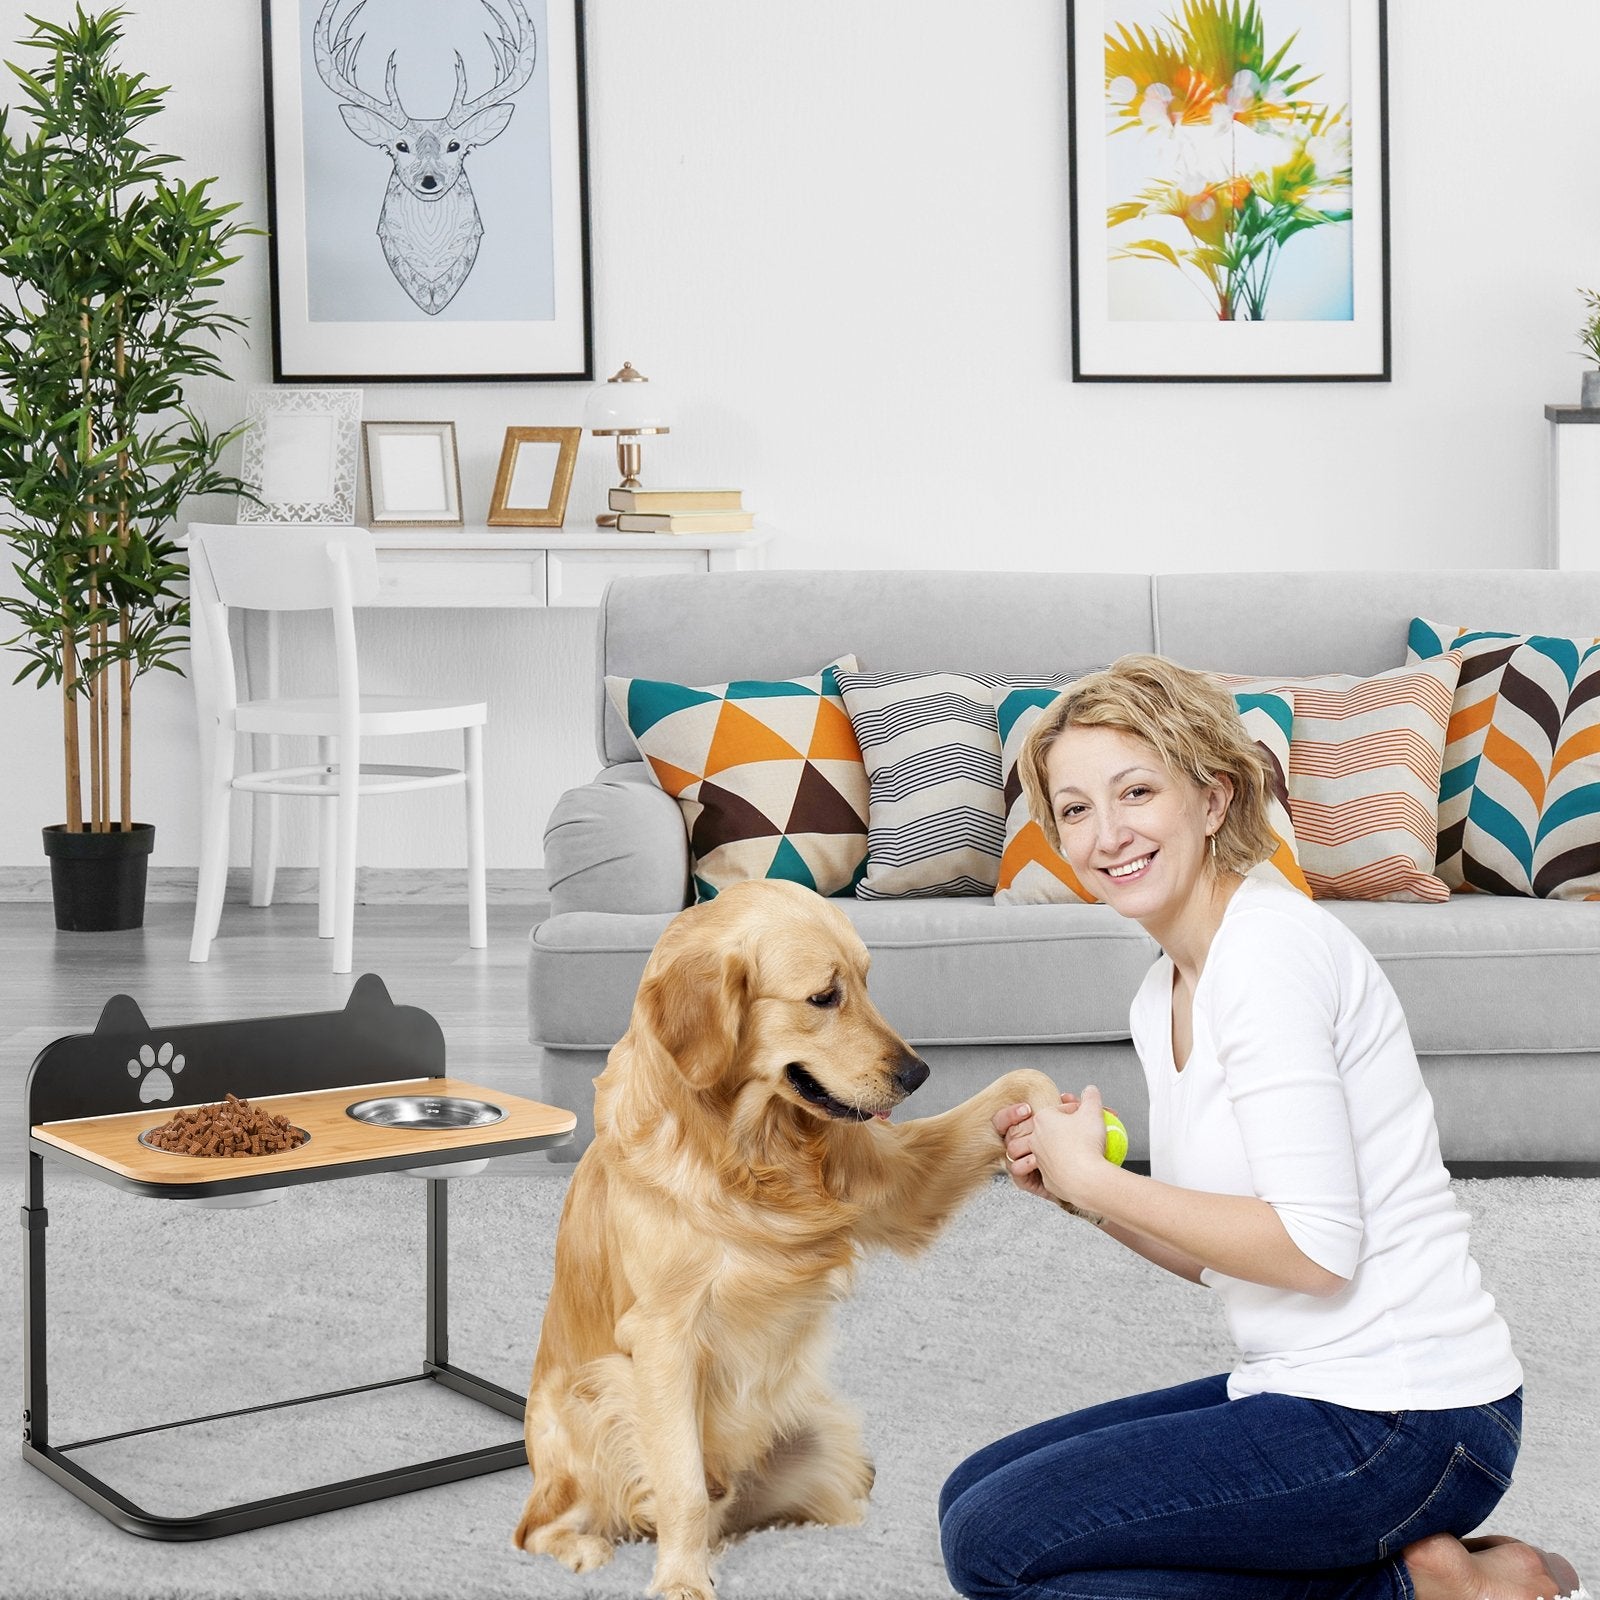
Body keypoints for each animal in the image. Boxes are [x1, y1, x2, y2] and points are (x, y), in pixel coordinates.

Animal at [515, 883, 1062, 1593]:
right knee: (537, 1525)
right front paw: (682, 1580)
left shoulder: (897, 1185)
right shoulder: (662, 1338)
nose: (918, 1073)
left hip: (827, 1441)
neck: (747, 1152)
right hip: (588, 1399)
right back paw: (586, 1547)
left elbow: (1016, 1083)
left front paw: (1057, 1127)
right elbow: (680, 1485)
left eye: (867, 980)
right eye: (824, 997)